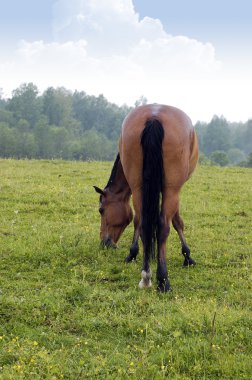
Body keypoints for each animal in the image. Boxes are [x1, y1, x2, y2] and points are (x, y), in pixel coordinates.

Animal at [94, 102, 199, 292]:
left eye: (101, 210)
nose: (104, 243)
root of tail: (154, 117)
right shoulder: (174, 191)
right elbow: (177, 222)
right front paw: (187, 256)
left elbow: (138, 221)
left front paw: (132, 254)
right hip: (171, 189)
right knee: (163, 226)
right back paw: (162, 280)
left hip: (138, 186)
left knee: (143, 223)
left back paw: (146, 276)